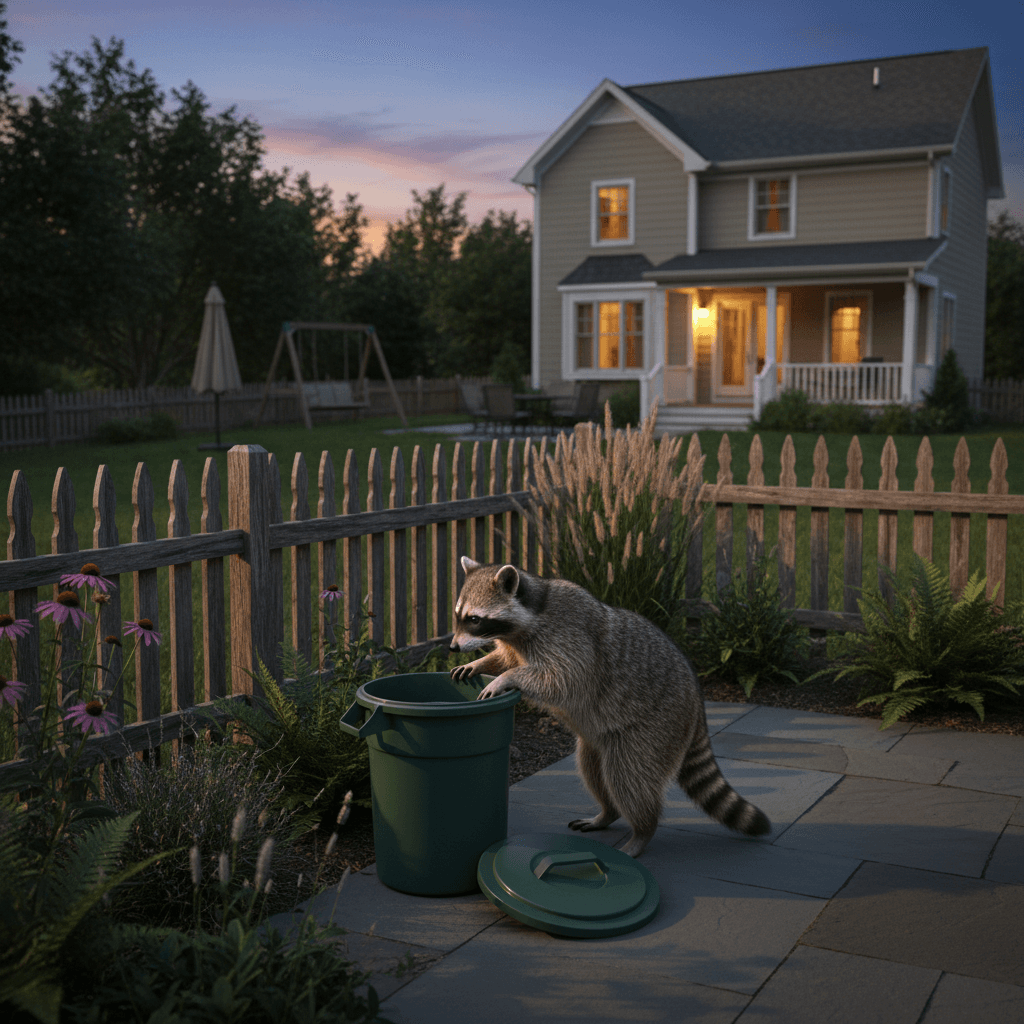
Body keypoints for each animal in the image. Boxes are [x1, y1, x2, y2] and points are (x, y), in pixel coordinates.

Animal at [450, 556, 770, 857]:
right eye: (458, 616)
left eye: (475, 619)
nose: (452, 647)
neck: (533, 612)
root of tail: (696, 699)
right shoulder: (515, 643)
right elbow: (507, 658)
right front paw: (482, 663)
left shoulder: (568, 637)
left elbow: (561, 678)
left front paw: (506, 678)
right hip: (599, 737)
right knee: (593, 768)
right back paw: (608, 812)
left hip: (656, 727)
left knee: (628, 777)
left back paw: (643, 830)